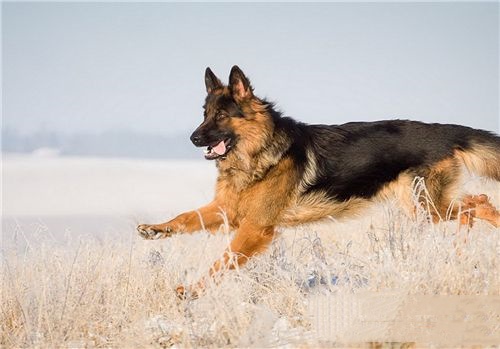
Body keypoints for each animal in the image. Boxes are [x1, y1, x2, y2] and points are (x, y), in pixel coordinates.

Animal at [137, 66, 500, 296]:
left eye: (222, 116)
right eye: (204, 114)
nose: (193, 138)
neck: (261, 151)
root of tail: (445, 131)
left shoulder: (255, 227)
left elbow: (223, 261)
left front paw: (192, 291)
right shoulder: (228, 210)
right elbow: (186, 217)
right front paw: (155, 230)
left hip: (427, 206)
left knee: (480, 203)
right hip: (425, 207)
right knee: (473, 205)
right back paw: (462, 246)